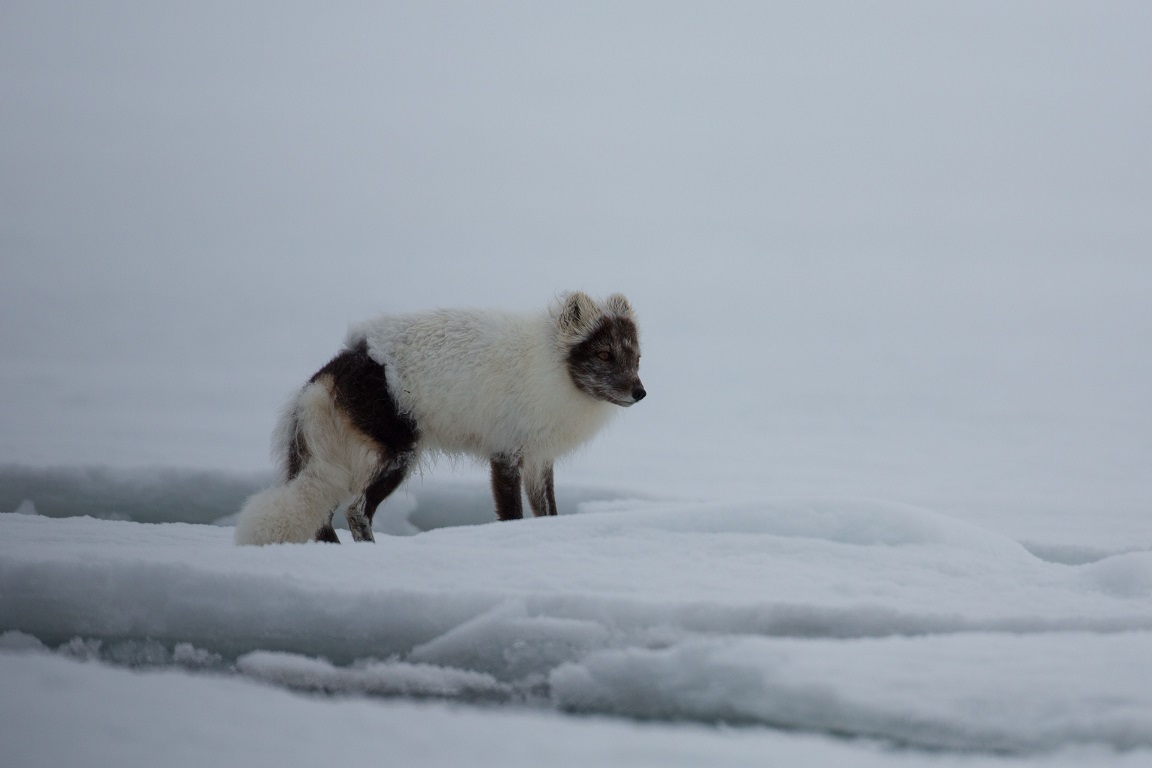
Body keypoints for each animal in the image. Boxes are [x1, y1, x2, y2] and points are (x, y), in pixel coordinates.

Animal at [233, 290, 645, 545]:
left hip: (335, 466)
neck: (552, 369)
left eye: (637, 357)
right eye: (604, 354)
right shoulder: (506, 454)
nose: (640, 393)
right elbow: (512, 514)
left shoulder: (539, 460)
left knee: (322, 516)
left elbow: (549, 513)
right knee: (356, 512)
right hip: (399, 454)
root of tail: (336, 367)